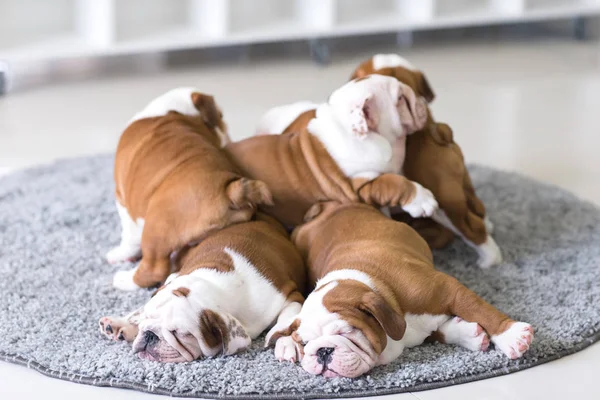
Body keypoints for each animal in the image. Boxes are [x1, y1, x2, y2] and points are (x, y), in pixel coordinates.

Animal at [100, 214, 304, 364]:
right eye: (148, 318)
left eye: (180, 333)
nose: (150, 335)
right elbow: (139, 310)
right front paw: (127, 322)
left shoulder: (290, 296)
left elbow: (287, 320)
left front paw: (285, 343)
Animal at [350, 52, 500, 266]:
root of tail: (438, 132)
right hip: (463, 183)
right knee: (477, 205)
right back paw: (489, 226)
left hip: (445, 204)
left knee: (472, 227)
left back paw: (490, 259)